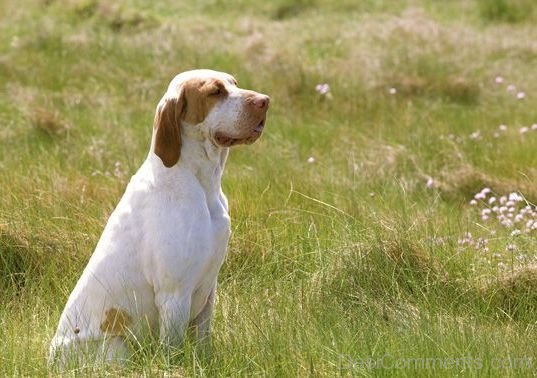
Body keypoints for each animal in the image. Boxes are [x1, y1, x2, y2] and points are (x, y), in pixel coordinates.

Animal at [47, 69, 268, 368]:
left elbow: (203, 340)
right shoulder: (174, 295)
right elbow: (173, 350)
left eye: (234, 83)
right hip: (118, 347)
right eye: (215, 92)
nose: (265, 101)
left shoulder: (209, 291)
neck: (202, 186)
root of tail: (50, 359)